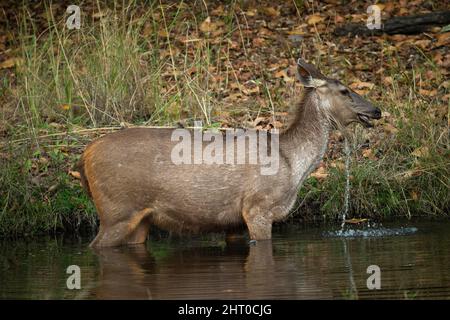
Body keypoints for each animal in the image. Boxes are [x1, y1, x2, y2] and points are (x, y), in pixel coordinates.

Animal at [77, 58, 380, 248]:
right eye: (345, 90)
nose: (376, 110)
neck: (292, 164)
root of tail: (85, 154)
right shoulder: (258, 206)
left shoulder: (234, 222)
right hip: (117, 209)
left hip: (139, 219)